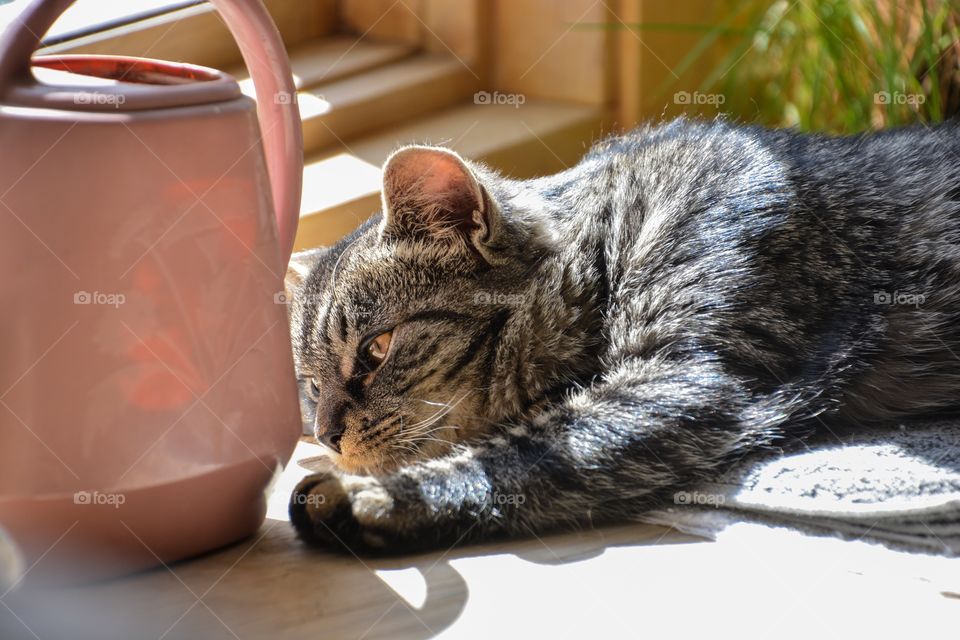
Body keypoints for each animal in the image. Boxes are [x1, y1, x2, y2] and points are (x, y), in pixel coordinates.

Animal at [284, 117, 960, 552]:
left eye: (375, 351)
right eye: (310, 386)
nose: (327, 434)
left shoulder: (683, 380)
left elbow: (515, 460)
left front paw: (378, 500)